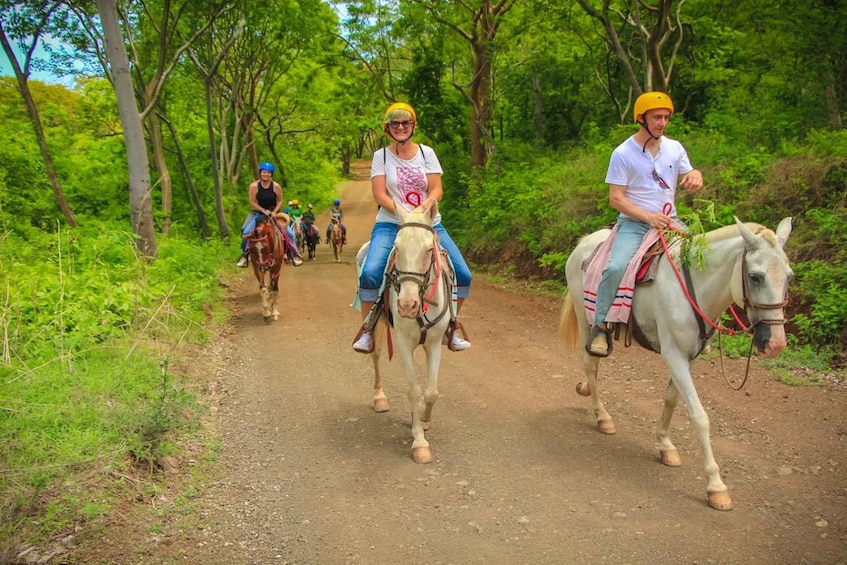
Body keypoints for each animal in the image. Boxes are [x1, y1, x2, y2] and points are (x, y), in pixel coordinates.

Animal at [368, 202, 454, 462]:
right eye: (397, 248)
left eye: (428, 250)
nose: (407, 305)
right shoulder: (404, 343)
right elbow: (414, 390)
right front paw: (419, 442)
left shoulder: (434, 343)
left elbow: (432, 392)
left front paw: (424, 420)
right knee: (375, 354)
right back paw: (379, 398)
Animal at [564, 215, 796, 506]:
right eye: (755, 277)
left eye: (788, 276)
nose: (776, 343)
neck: (695, 285)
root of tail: (585, 243)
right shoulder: (674, 355)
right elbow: (699, 416)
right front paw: (716, 485)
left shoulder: (688, 357)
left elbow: (672, 399)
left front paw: (665, 445)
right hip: (586, 320)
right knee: (591, 364)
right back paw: (602, 416)